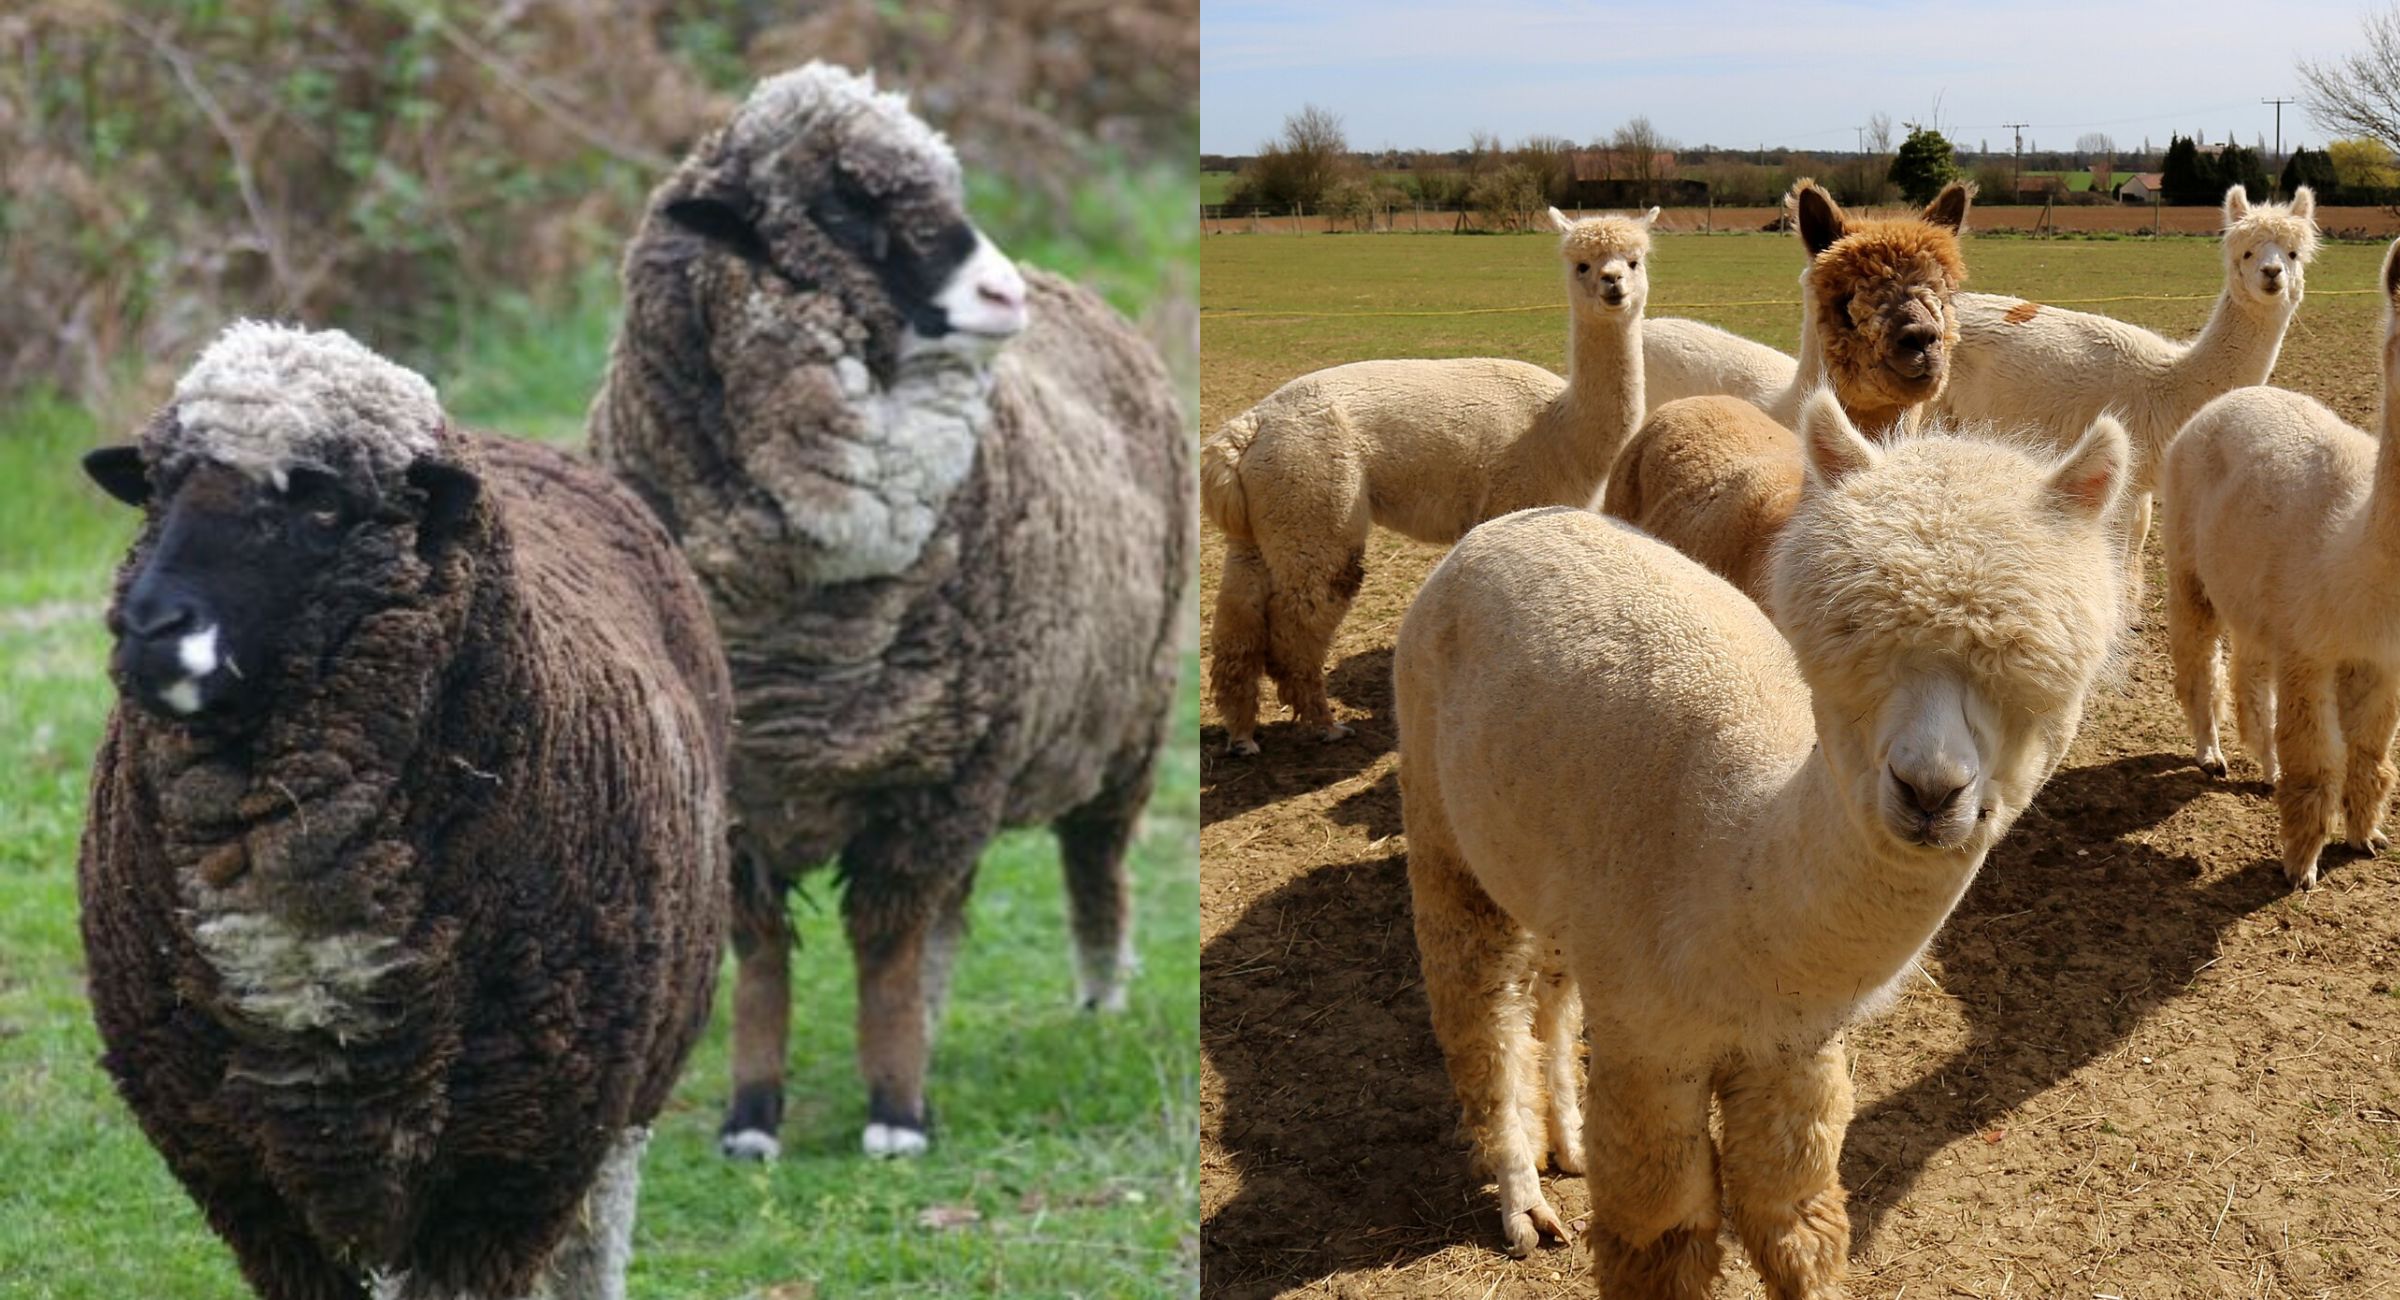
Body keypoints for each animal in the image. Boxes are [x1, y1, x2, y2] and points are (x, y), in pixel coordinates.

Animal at [77, 323, 729, 1300]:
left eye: (321, 505)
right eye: (157, 488)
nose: (151, 630)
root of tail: (520, 443)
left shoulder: (507, 1165)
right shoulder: (238, 1170)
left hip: (623, 1098)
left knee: (593, 1243)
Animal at [590, 63, 1190, 1160]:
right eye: (840, 211)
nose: (1004, 294)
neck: (797, 631)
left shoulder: (932, 779)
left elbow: (886, 947)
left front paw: (898, 1116)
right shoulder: (746, 792)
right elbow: (764, 956)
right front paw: (752, 1117)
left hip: (1124, 715)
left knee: (1093, 864)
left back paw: (1097, 996)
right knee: (957, 910)